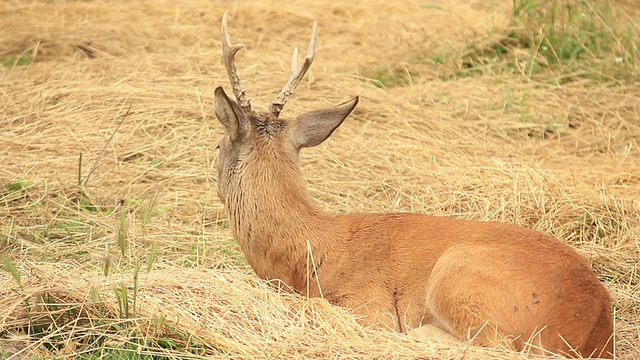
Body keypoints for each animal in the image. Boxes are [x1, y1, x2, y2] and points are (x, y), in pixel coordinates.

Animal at [211, 11, 616, 360]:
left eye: (217, 146)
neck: (309, 249)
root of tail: (590, 326)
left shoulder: (368, 304)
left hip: (458, 273)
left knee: (492, 346)